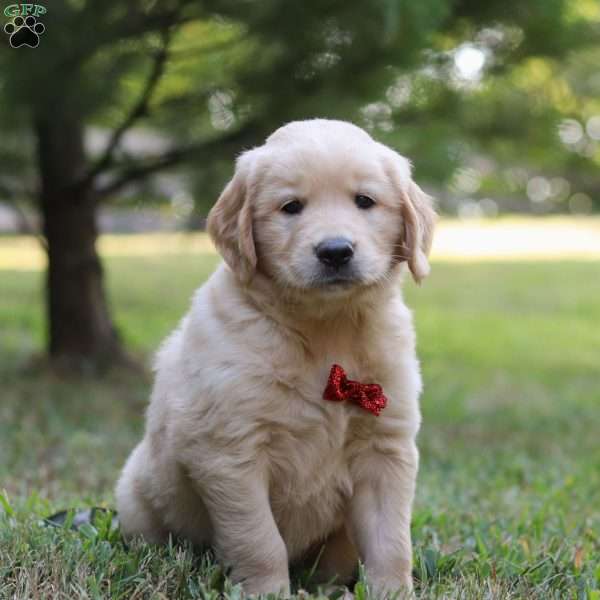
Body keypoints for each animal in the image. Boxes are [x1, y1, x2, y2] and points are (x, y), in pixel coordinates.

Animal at [116, 118, 436, 596]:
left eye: (365, 201)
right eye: (291, 207)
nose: (335, 251)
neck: (326, 330)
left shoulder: (386, 447)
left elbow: (391, 541)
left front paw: (392, 591)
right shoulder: (230, 451)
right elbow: (258, 539)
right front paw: (267, 591)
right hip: (136, 495)